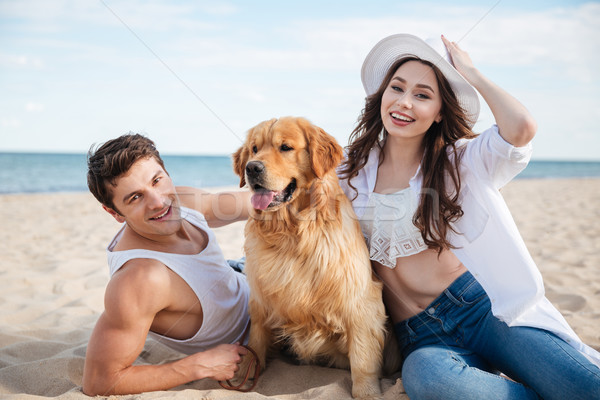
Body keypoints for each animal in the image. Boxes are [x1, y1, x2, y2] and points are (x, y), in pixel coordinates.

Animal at [230, 117, 390, 398]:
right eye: (254, 149)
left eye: (285, 147)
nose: (252, 168)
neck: (292, 233)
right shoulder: (261, 297)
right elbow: (257, 338)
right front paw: (247, 371)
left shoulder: (360, 298)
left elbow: (362, 354)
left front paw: (367, 391)